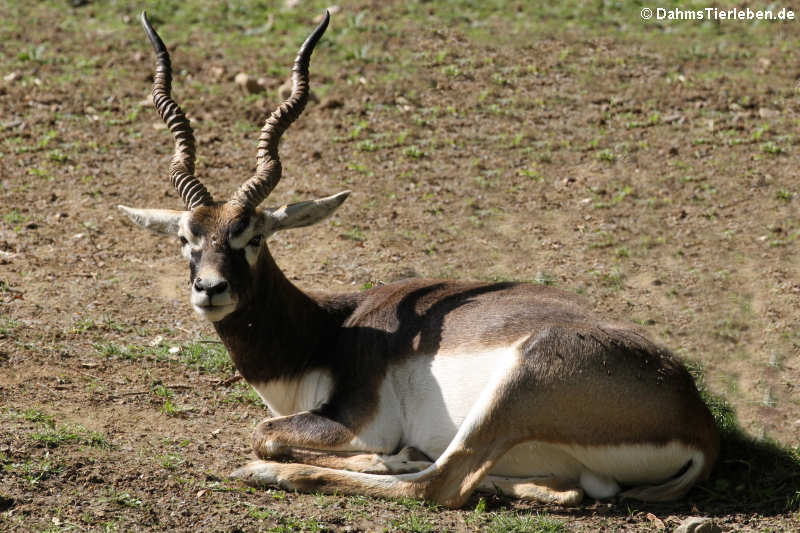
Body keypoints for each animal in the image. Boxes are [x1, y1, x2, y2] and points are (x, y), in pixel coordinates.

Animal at [122, 10, 720, 504]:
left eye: (253, 237)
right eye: (186, 237)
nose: (210, 289)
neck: (329, 333)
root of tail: (698, 421)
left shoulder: (357, 420)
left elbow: (265, 434)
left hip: (513, 391)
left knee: (440, 485)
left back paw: (284, 473)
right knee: (551, 487)